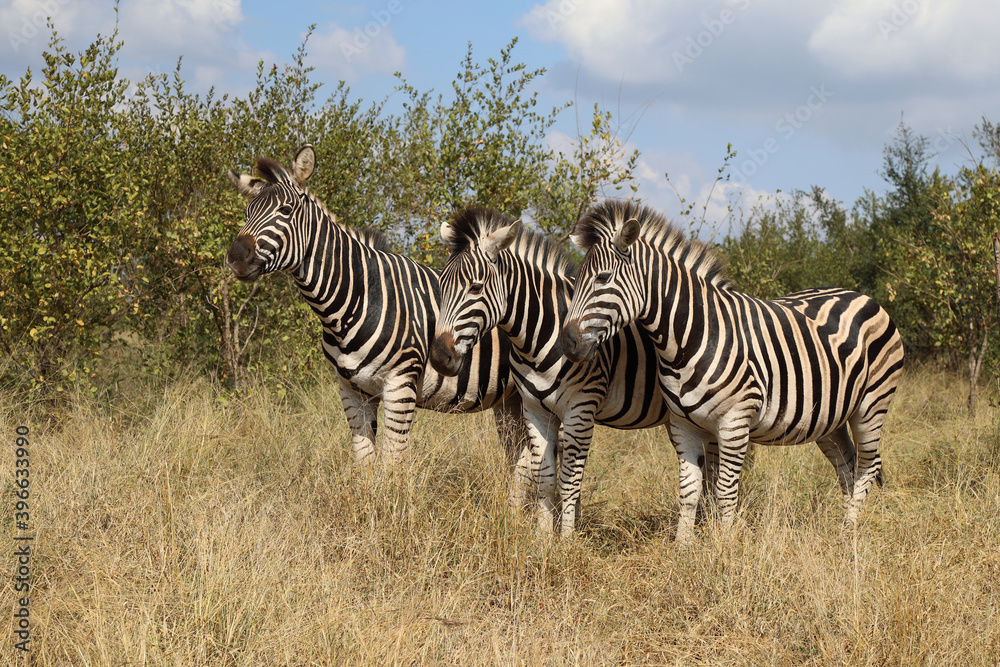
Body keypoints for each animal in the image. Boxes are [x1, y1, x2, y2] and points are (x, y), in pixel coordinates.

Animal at [225, 145, 531, 505]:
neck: (353, 301)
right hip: (510, 400)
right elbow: (364, 463)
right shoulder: (352, 390)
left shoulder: (400, 386)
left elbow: (391, 465)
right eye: (247, 211)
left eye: (286, 210)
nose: (235, 256)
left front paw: (390, 513)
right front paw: (363, 509)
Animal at [429, 206, 674, 535]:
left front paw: (567, 539)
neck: (540, 334)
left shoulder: (580, 407)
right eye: (441, 286)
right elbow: (545, 477)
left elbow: (569, 480)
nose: (439, 358)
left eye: (476, 287)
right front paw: (542, 537)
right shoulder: (534, 406)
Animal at [560, 200, 904, 544]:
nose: (567, 343)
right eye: (576, 281)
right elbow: (688, 493)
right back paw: (842, 531)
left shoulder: (735, 422)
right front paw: (682, 547)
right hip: (831, 418)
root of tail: (861, 296)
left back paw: (852, 529)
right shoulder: (683, 425)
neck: (688, 338)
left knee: (868, 466)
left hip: (871, 406)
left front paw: (725, 547)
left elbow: (725, 493)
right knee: (847, 465)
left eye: (603, 278)